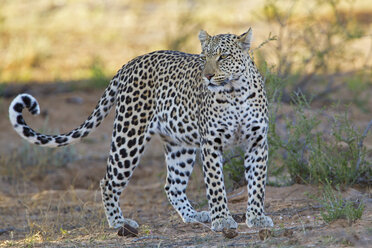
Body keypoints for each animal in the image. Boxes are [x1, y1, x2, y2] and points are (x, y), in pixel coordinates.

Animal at [8, 29, 274, 232]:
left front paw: (257, 217)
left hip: (180, 145)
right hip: (129, 135)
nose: (207, 76)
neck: (235, 93)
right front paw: (222, 220)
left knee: (172, 185)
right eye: (204, 56)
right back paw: (119, 223)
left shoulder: (257, 142)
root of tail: (130, 62)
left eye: (223, 56)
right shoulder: (211, 143)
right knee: (107, 182)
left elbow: (257, 183)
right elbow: (216, 185)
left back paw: (193, 215)